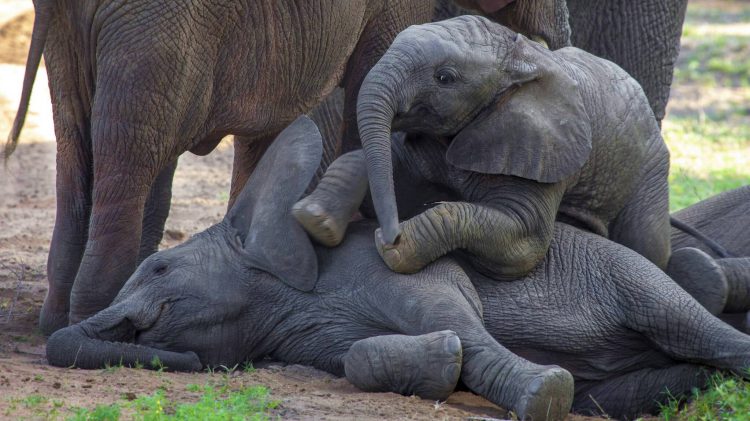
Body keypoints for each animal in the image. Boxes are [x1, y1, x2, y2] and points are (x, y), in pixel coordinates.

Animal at [50, 116, 750, 418]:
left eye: (159, 268)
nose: (189, 363)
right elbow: (363, 358)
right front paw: (439, 362)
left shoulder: (382, 263)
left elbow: (459, 316)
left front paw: (542, 395)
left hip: (633, 275)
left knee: (686, 322)